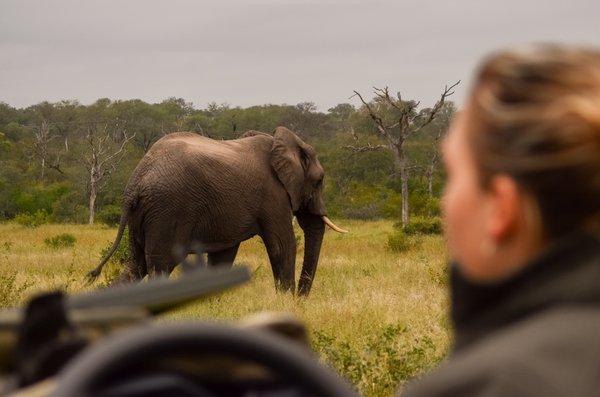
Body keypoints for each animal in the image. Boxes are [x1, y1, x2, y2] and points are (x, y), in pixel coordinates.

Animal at [85, 127, 346, 294]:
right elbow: (282, 245)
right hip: (167, 210)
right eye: (319, 181)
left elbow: (223, 256)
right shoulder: (273, 194)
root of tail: (136, 180)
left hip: (143, 213)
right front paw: (286, 302)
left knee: (135, 266)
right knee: (160, 266)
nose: (301, 297)